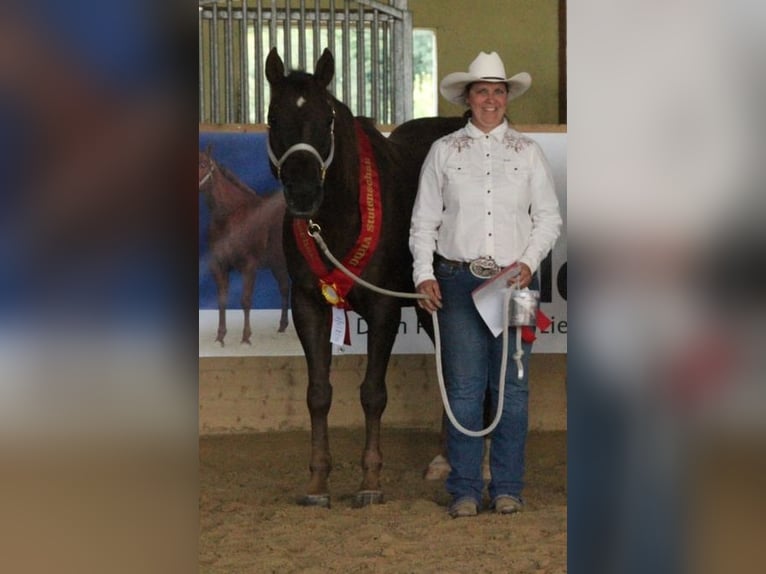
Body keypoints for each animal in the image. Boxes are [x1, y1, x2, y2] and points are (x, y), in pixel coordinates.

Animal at [201, 148, 292, 346]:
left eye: (203, 164)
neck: (229, 217)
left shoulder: (249, 266)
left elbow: (245, 300)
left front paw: (246, 338)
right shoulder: (218, 267)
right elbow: (222, 301)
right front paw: (220, 337)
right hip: (278, 264)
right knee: (284, 287)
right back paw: (282, 327)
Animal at [268, 48, 464, 508]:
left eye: (326, 119)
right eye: (272, 117)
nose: (303, 193)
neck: (340, 215)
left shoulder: (383, 307)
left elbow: (373, 393)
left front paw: (370, 480)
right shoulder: (308, 304)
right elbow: (318, 393)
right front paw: (317, 483)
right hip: (430, 309)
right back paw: (443, 461)